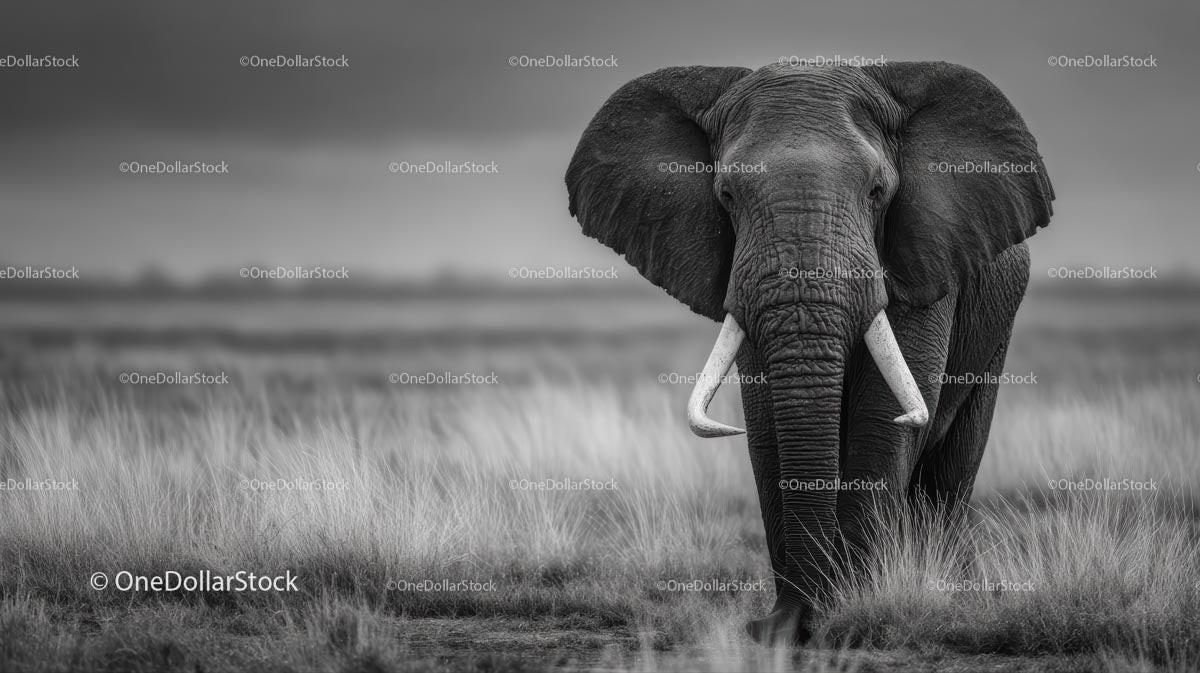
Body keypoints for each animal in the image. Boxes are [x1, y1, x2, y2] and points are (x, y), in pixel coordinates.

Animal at [564, 62, 1054, 645]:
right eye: (726, 194)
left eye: (877, 190)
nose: (797, 621)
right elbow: (766, 422)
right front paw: (782, 628)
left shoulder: (923, 260)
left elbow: (883, 416)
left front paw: (852, 613)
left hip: (997, 323)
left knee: (951, 468)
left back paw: (948, 590)